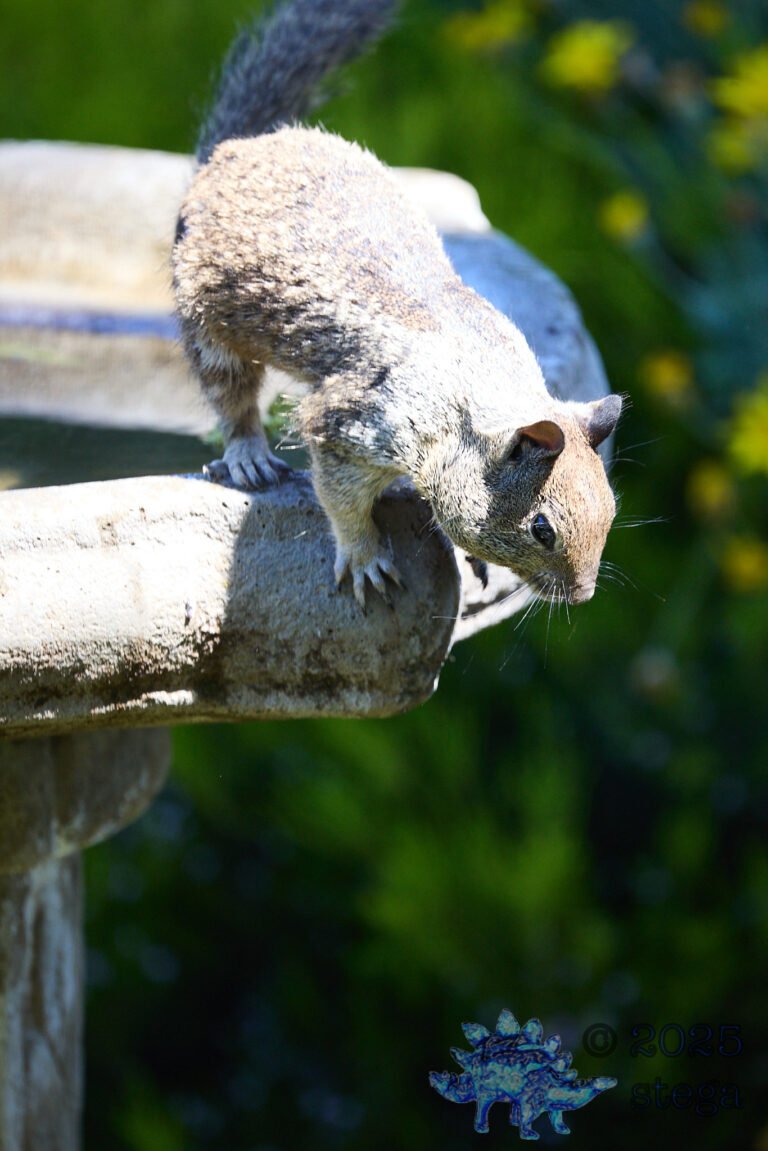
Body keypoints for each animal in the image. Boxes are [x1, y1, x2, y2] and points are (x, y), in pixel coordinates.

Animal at [172, 0, 622, 608]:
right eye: (541, 528)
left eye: (612, 509)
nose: (582, 596)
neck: (470, 396)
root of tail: (230, 153)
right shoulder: (351, 424)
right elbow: (341, 498)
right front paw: (365, 557)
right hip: (206, 323)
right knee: (232, 400)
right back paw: (250, 456)